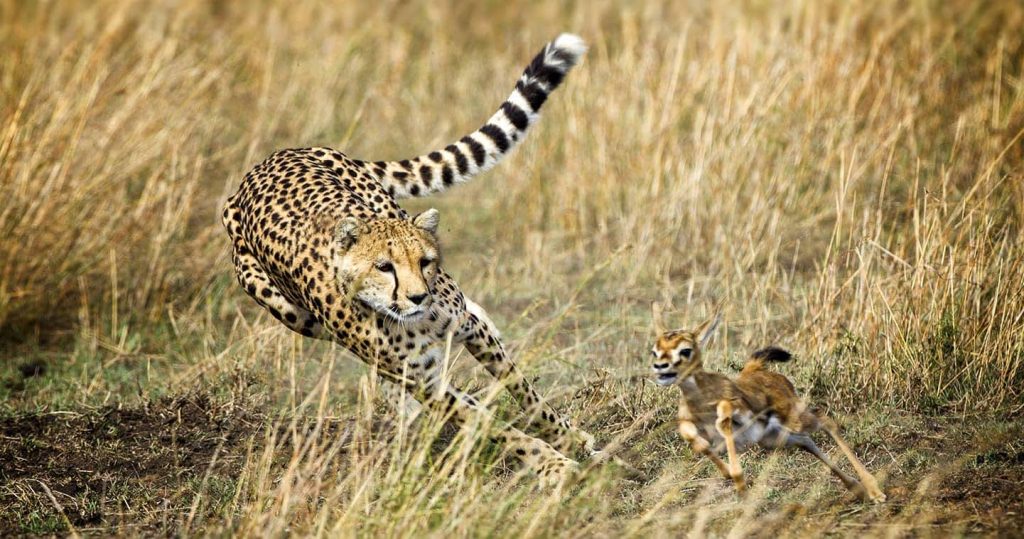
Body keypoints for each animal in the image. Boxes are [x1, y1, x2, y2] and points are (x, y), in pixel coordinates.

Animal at [220, 34, 598, 489]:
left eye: (425, 262)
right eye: (383, 267)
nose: (418, 297)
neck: (413, 321)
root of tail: (268, 161)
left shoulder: (466, 331)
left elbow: (522, 388)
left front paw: (568, 439)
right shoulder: (425, 382)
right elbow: (492, 425)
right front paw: (553, 464)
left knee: (478, 322)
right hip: (296, 316)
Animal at [651, 307, 884, 504]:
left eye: (685, 350)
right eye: (655, 350)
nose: (660, 367)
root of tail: (756, 369)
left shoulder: (736, 408)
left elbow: (724, 417)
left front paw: (738, 481)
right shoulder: (696, 427)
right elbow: (692, 436)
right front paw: (731, 476)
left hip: (794, 420)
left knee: (825, 420)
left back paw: (875, 491)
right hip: (774, 438)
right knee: (806, 441)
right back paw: (858, 489)